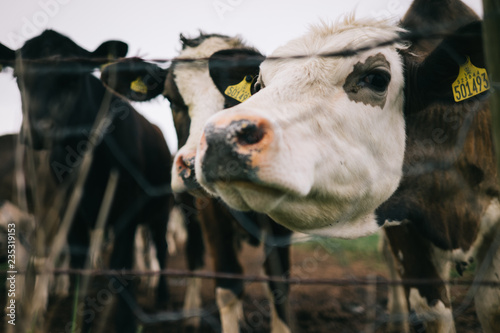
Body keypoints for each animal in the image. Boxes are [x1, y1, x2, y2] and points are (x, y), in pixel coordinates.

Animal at [101, 34, 292, 332]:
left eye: (231, 100)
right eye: (171, 99)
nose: (192, 166)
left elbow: (277, 284)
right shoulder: (210, 214)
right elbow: (227, 283)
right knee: (193, 256)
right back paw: (191, 315)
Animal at [195, 5, 500, 333]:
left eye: (377, 78)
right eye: (256, 85)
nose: (221, 135)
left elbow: (490, 307)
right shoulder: (407, 231)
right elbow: (431, 310)